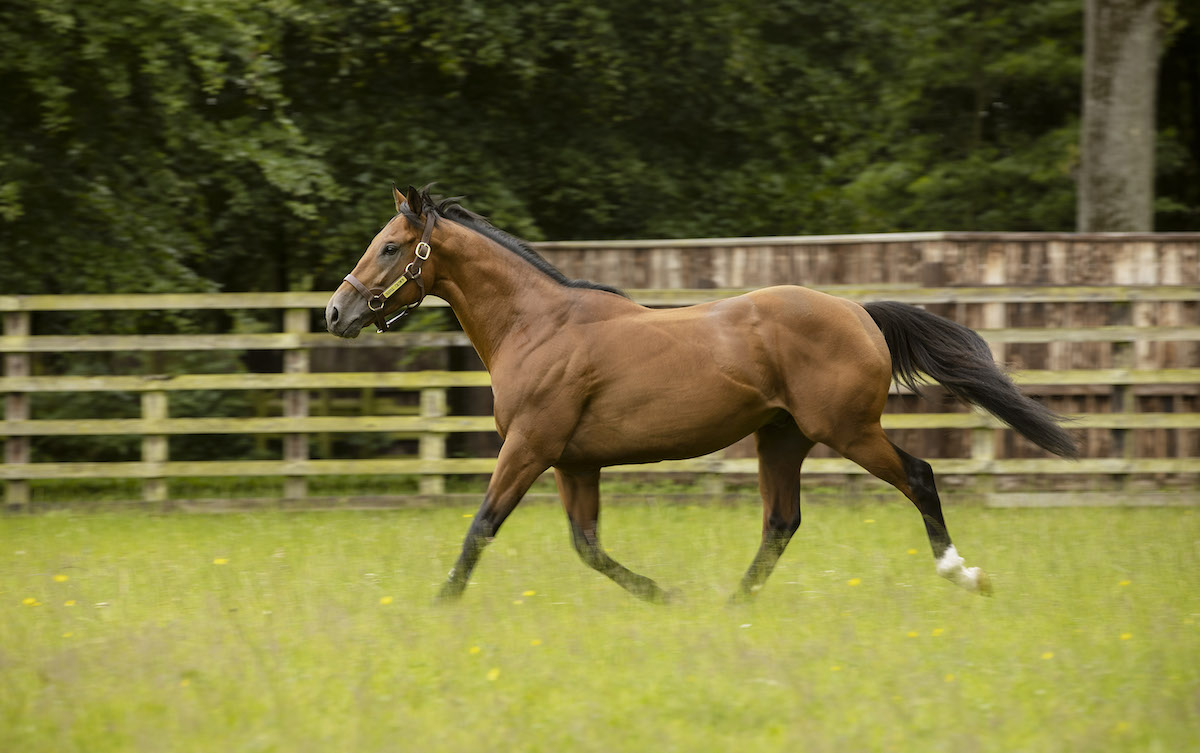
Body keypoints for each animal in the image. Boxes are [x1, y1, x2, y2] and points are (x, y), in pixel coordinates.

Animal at [326, 188, 1080, 606]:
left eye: (390, 247)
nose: (337, 311)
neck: (537, 324)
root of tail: (857, 312)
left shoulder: (530, 446)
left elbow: (481, 527)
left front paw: (439, 604)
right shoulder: (574, 461)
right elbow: (587, 545)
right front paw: (664, 596)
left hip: (847, 430)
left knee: (919, 477)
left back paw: (964, 574)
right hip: (782, 437)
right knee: (781, 522)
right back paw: (731, 603)